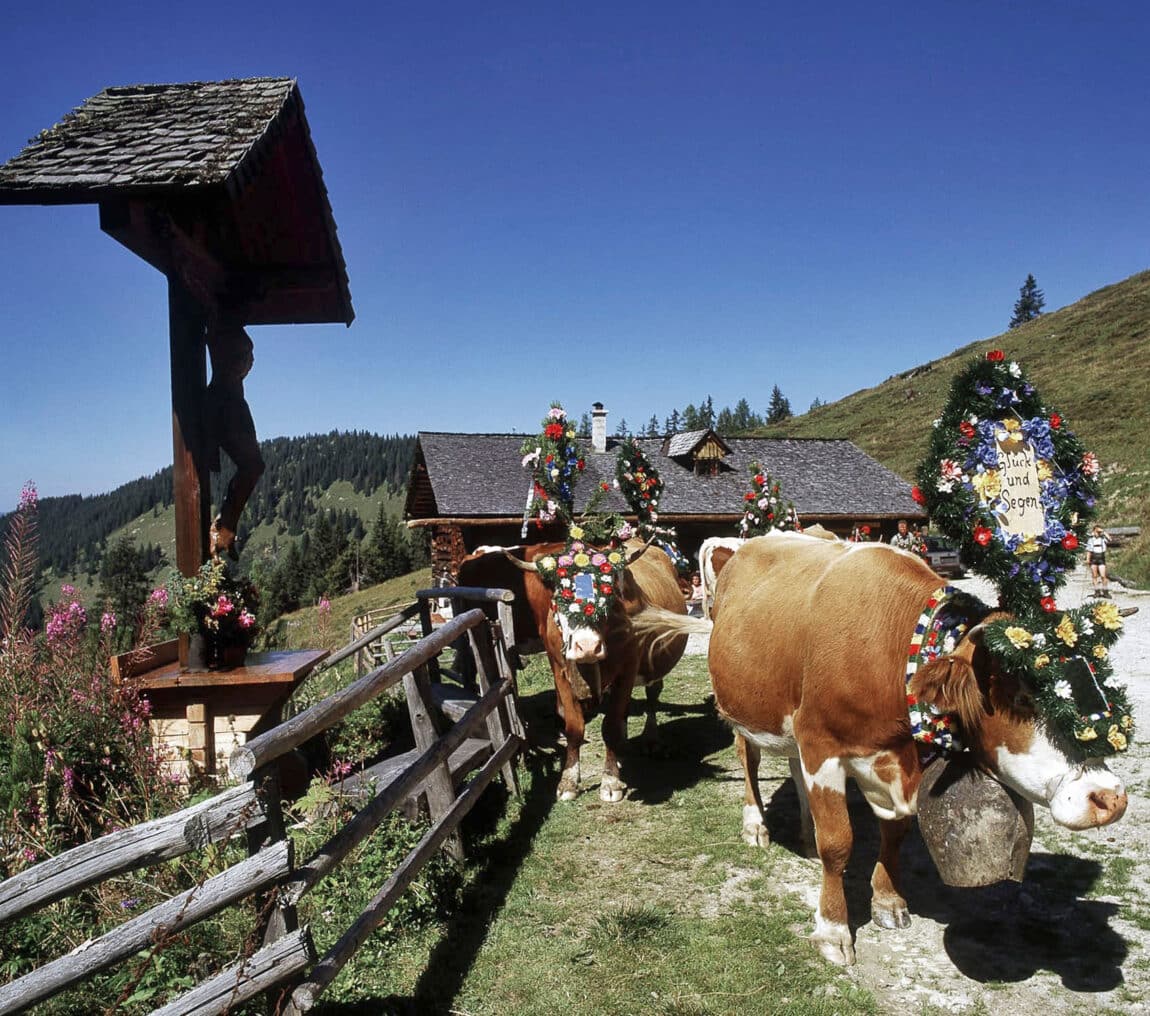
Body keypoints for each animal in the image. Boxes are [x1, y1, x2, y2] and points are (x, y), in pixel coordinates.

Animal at [457, 540, 690, 800]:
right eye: (561, 598)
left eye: (608, 595)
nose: (587, 646)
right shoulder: (560, 671)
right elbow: (574, 727)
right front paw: (568, 780)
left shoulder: (628, 669)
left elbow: (610, 725)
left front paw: (611, 781)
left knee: (652, 695)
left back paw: (651, 740)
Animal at [648, 531, 1131, 971]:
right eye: (1023, 698)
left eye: (1098, 686)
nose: (1110, 799)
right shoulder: (822, 743)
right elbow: (838, 843)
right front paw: (833, 931)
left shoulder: (886, 760)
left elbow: (895, 832)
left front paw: (887, 900)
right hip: (742, 708)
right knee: (748, 760)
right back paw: (756, 826)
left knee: (793, 767)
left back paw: (805, 832)